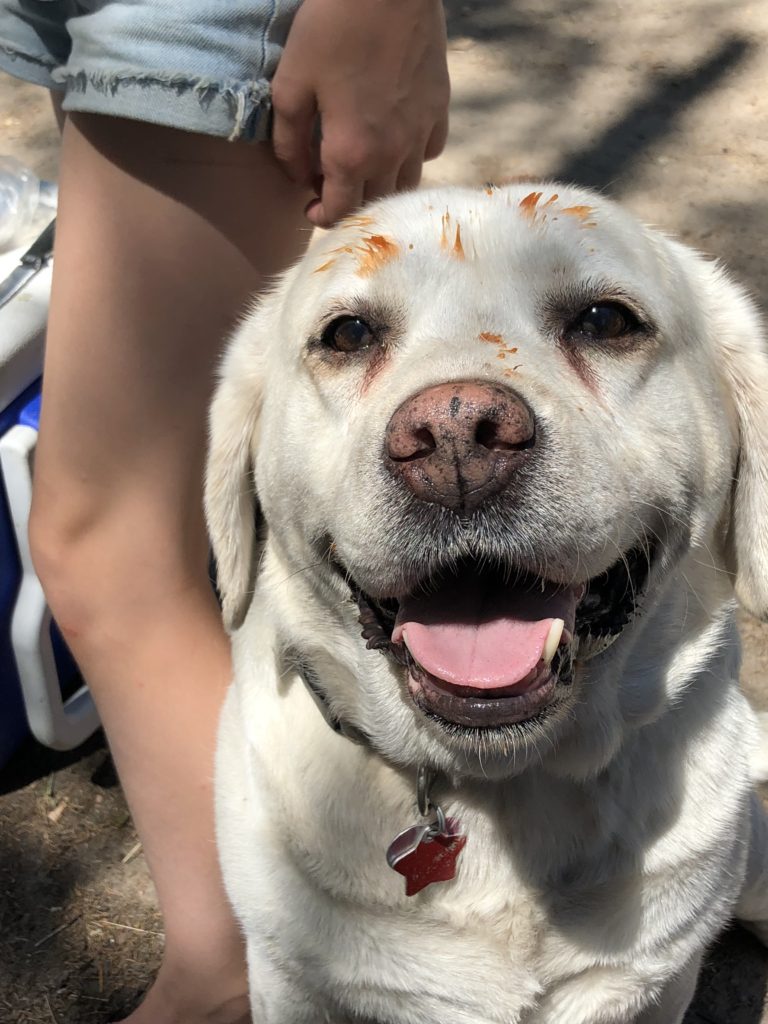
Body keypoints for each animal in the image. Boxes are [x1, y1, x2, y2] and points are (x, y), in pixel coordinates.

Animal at [202, 184, 768, 1024]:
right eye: (348, 333)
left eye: (606, 321)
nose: (456, 434)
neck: (502, 784)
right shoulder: (292, 981)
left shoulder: (656, 982)